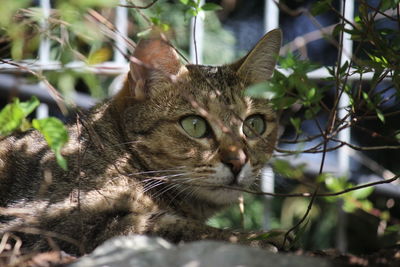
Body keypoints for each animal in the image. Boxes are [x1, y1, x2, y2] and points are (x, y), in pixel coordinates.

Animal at [0, 28, 282, 255]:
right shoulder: (48, 225)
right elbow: (172, 228)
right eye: (195, 125)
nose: (238, 161)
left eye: (254, 125)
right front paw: (257, 239)